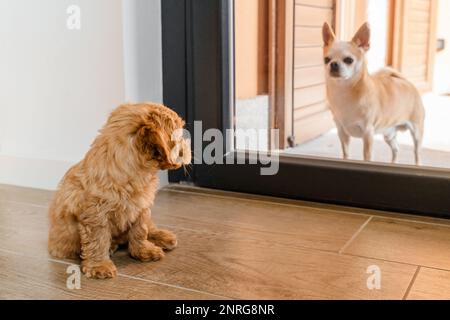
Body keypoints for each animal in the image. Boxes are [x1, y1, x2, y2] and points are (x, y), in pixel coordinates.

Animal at [48, 104, 192, 278]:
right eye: (178, 136)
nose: (189, 147)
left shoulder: (142, 207)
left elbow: (140, 230)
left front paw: (144, 250)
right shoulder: (95, 214)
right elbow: (98, 238)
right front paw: (99, 265)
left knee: (150, 227)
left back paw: (162, 236)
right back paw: (111, 247)